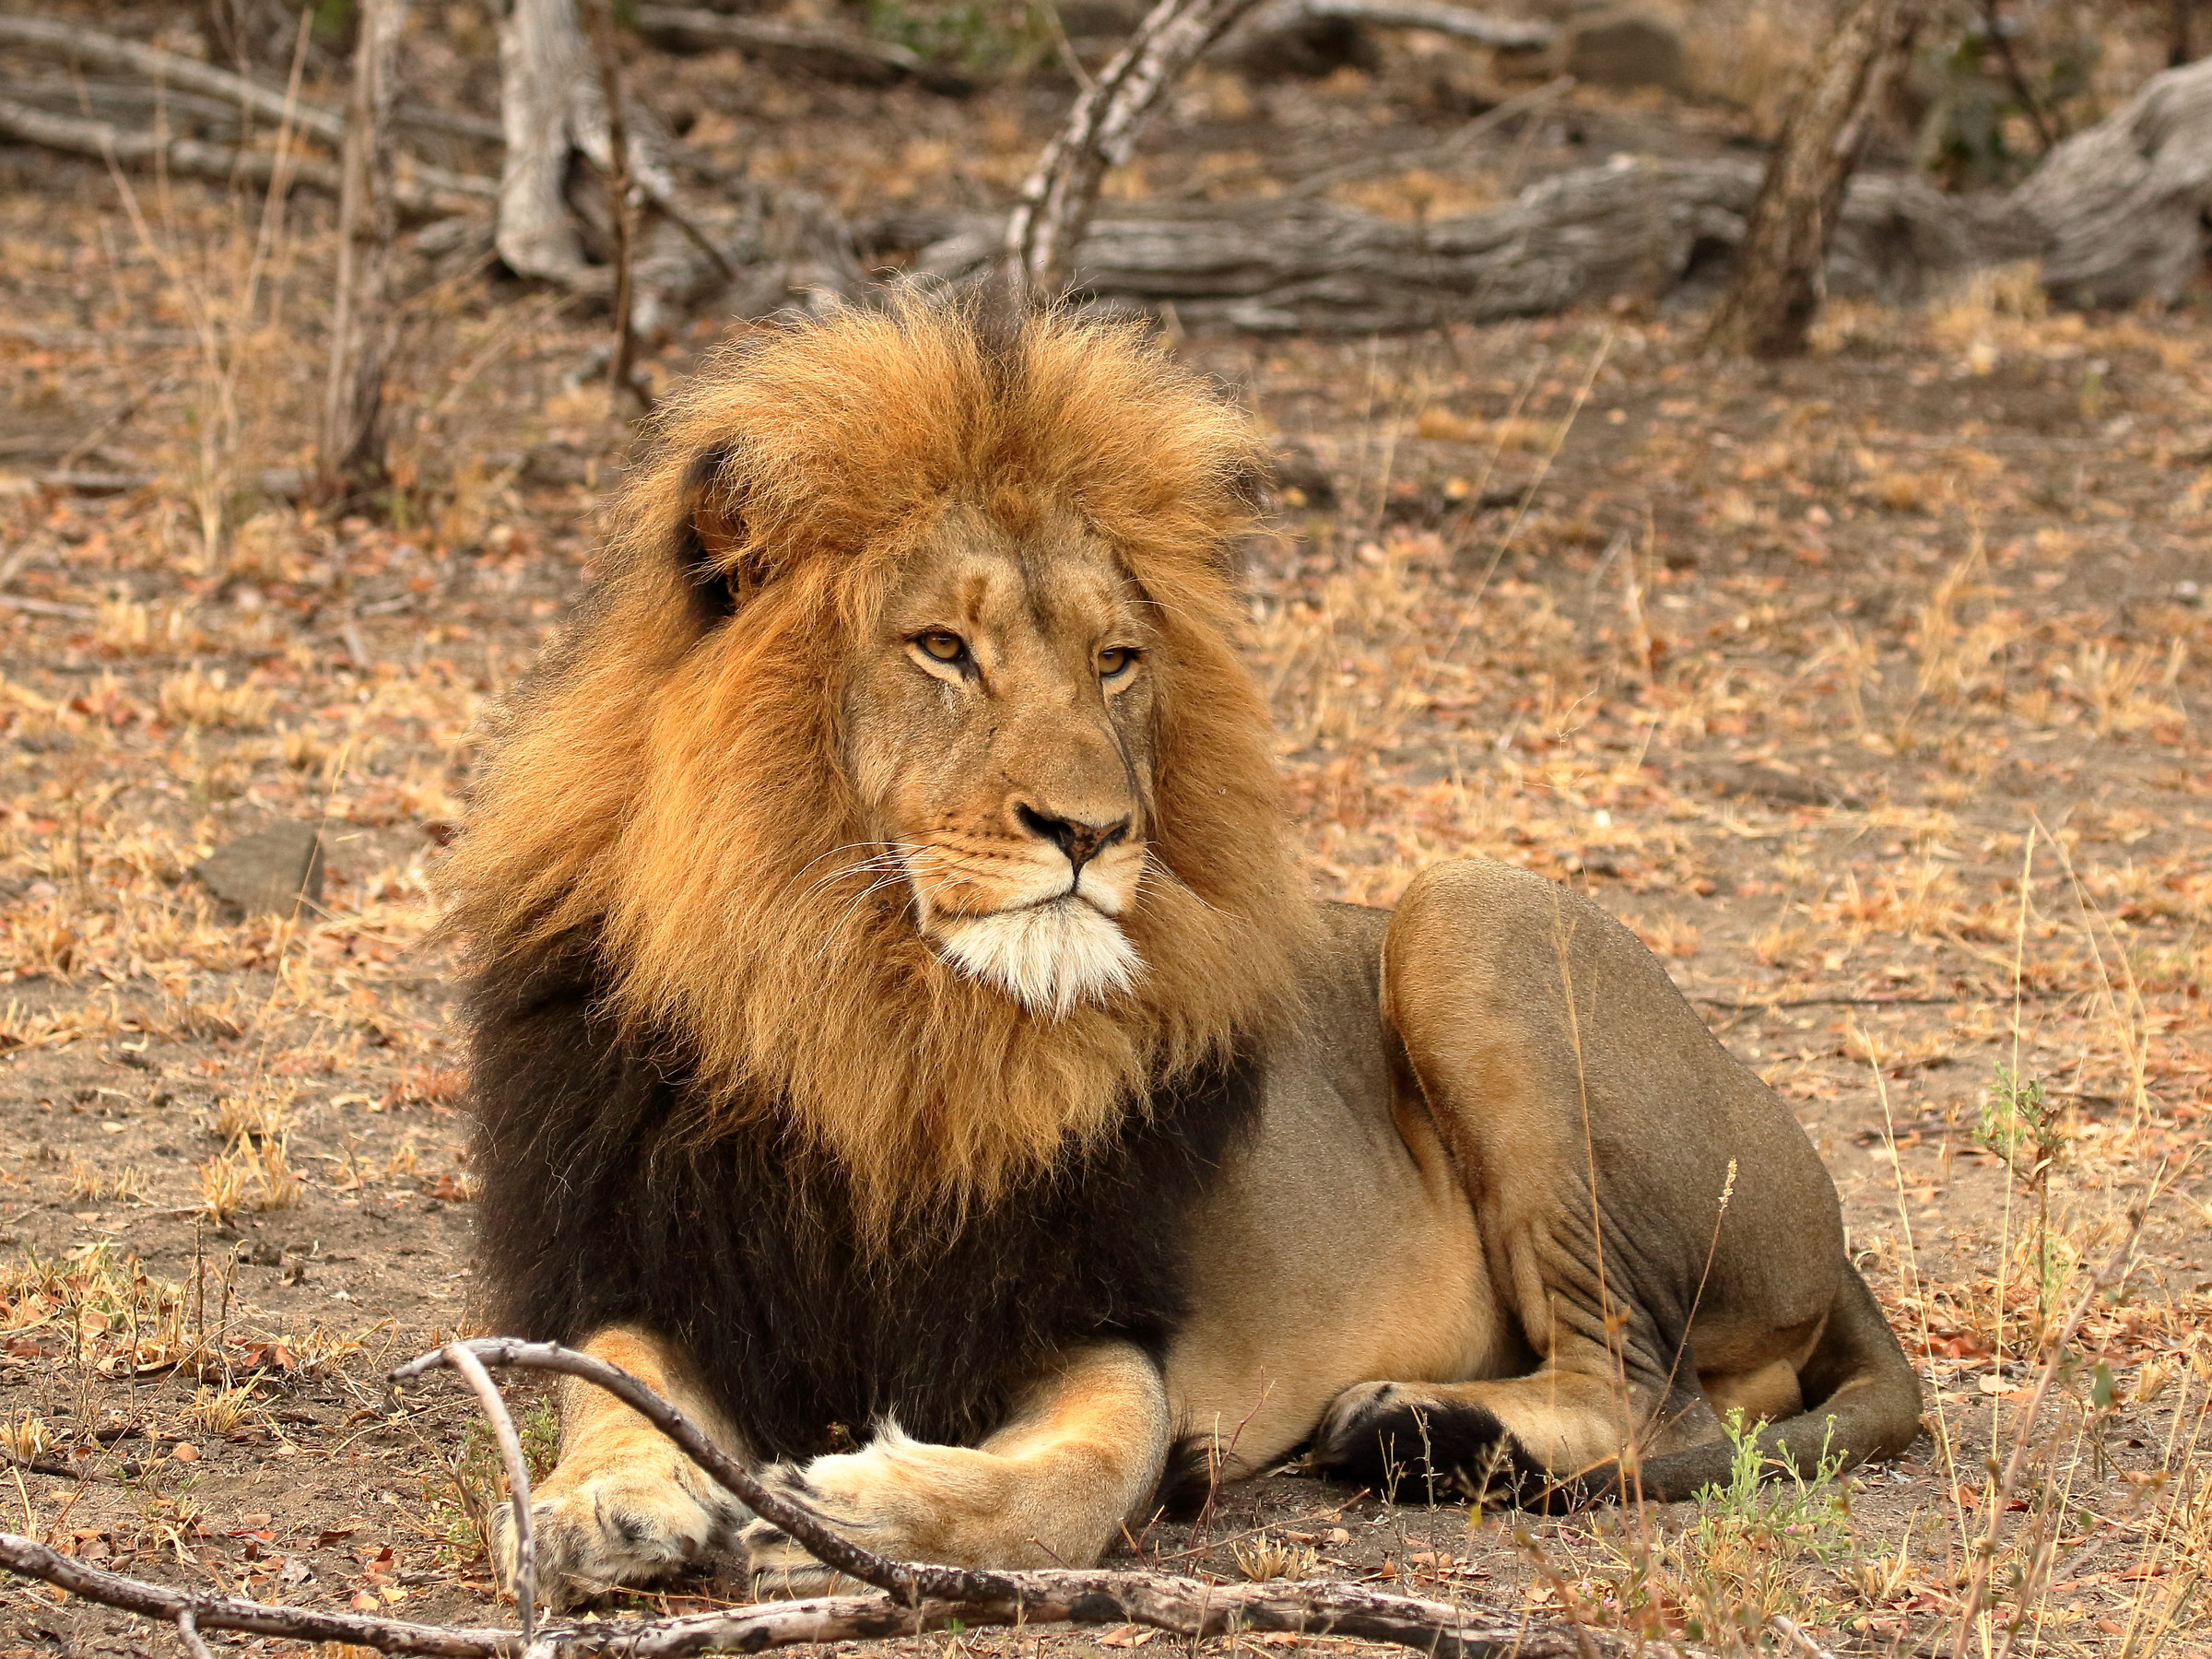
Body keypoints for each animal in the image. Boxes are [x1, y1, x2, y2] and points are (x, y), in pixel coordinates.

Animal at [445, 293, 1921, 1609]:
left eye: (1114, 661)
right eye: (942, 648)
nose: (1093, 829)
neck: (875, 1013)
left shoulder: (1091, 1320)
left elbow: (1078, 1482)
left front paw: (864, 1508)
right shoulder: (662, 1254)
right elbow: (609, 1381)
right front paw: (595, 1507)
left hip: (1472, 912)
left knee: (1653, 1397)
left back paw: (1418, 1428)